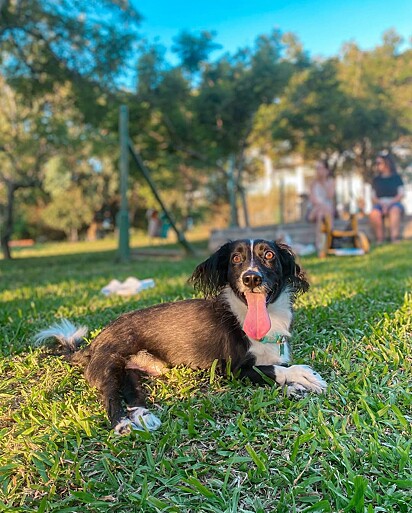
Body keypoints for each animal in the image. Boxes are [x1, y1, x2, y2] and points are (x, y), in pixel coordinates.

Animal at [36, 239, 326, 432]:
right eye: (235, 259)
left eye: (268, 255)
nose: (251, 278)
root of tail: (93, 343)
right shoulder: (233, 370)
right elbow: (273, 370)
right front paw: (302, 376)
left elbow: (273, 368)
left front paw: (295, 386)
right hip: (110, 366)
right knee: (110, 398)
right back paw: (121, 424)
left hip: (132, 372)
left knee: (132, 395)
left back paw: (143, 417)